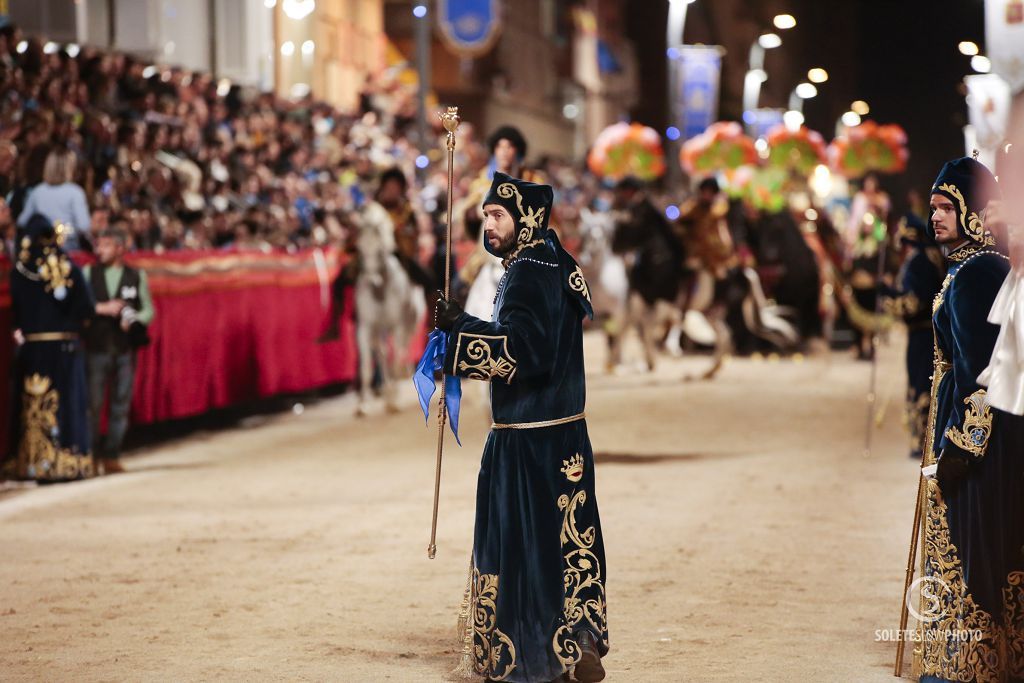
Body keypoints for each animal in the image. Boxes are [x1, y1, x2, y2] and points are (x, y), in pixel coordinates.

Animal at [352, 201, 423, 417]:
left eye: (380, 250)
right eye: (360, 249)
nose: (371, 280)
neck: (382, 289)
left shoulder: (398, 326)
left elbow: (397, 358)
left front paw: (393, 401)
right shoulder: (366, 327)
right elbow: (366, 367)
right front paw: (362, 406)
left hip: (410, 325)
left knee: (403, 352)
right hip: (378, 331)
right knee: (383, 355)